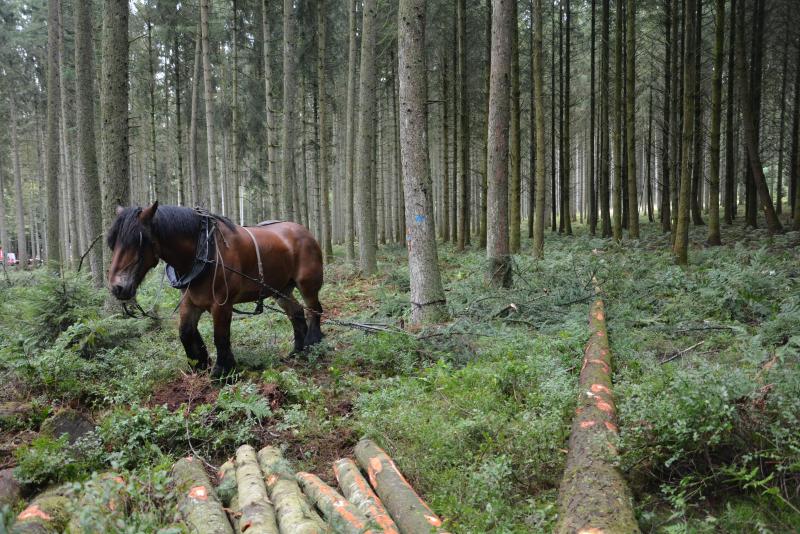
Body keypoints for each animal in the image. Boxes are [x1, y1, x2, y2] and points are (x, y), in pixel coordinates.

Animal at [107, 203, 324, 378]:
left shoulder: (221, 304)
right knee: (297, 313)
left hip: (307, 285)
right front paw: (199, 364)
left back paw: (313, 344)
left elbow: (220, 336)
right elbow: (185, 333)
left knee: (315, 310)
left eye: (139, 241)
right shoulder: (191, 301)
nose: (117, 288)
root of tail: (305, 231)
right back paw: (297, 351)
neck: (203, 251)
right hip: (281, 290)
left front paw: (222, 371)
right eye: (113, 243)